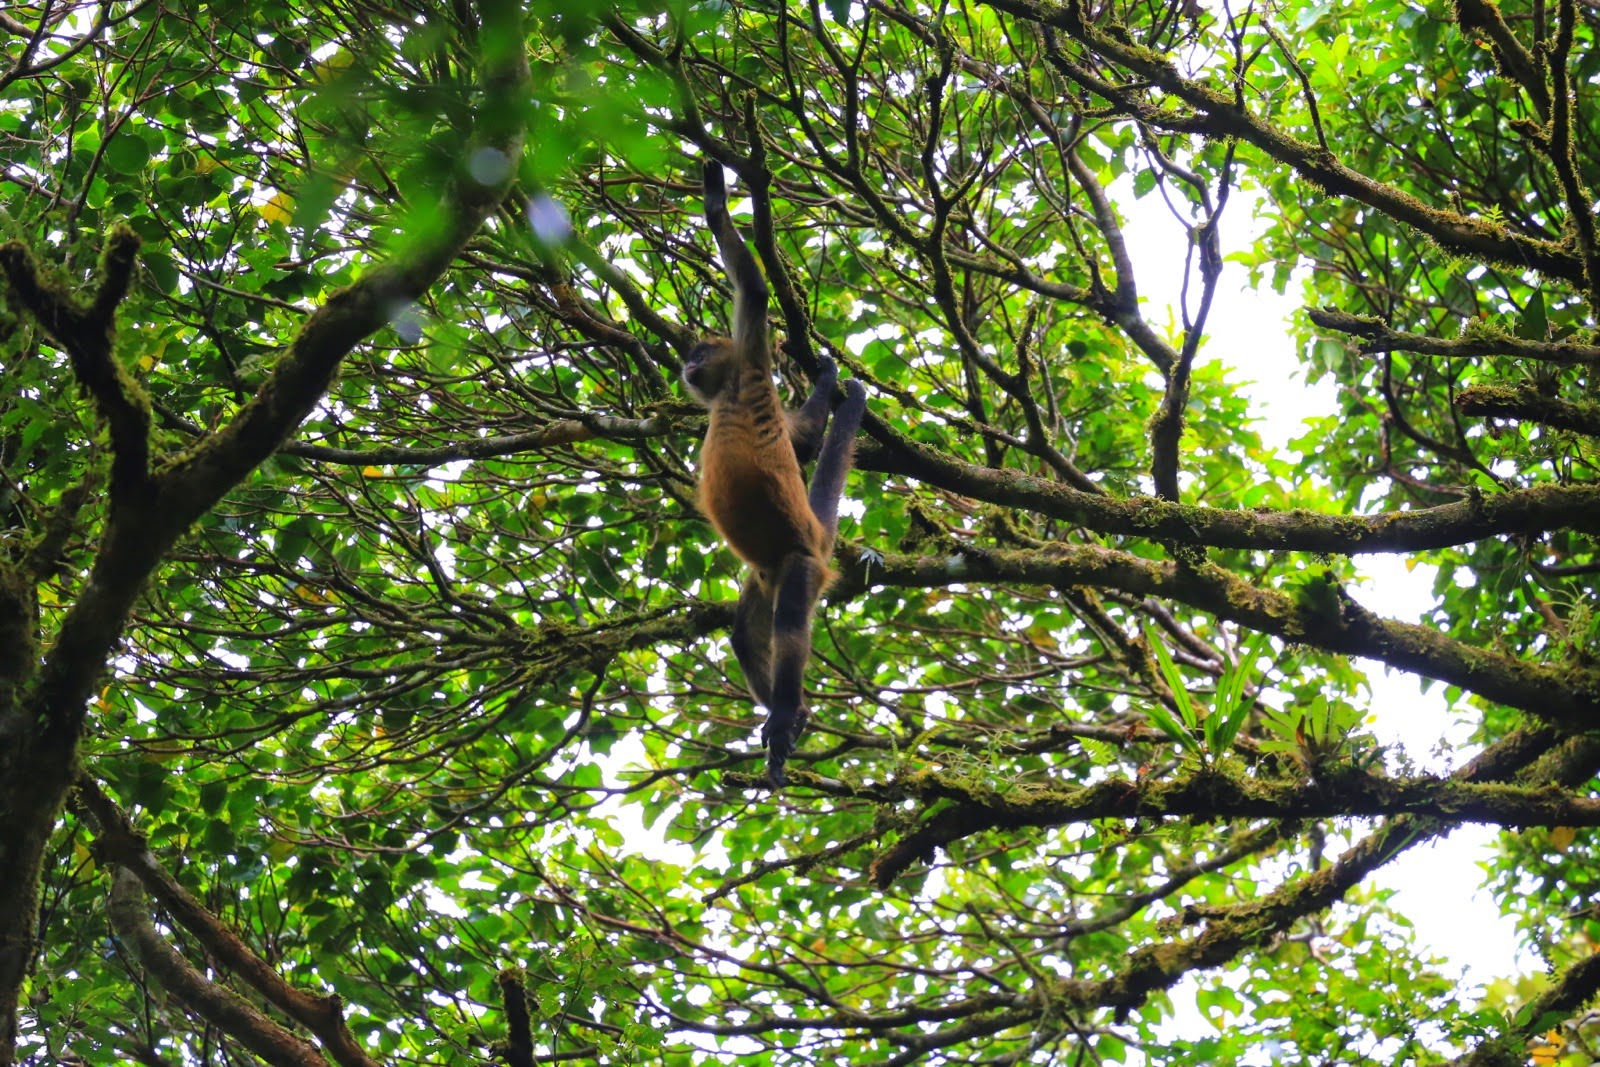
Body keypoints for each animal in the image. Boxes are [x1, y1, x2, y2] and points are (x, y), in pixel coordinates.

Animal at [682, 159, 867, 788]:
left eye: (700, 354)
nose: (685, 365)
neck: (725, 396)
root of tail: (815, 536)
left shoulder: (751, 363)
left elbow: (757, 291)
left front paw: (716, 199)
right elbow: (804, 439)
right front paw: (829, 380)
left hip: (798, 565)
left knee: (789, 624)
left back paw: (786, 714)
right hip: (762, 576)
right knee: (744, 636)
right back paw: (797, 713)